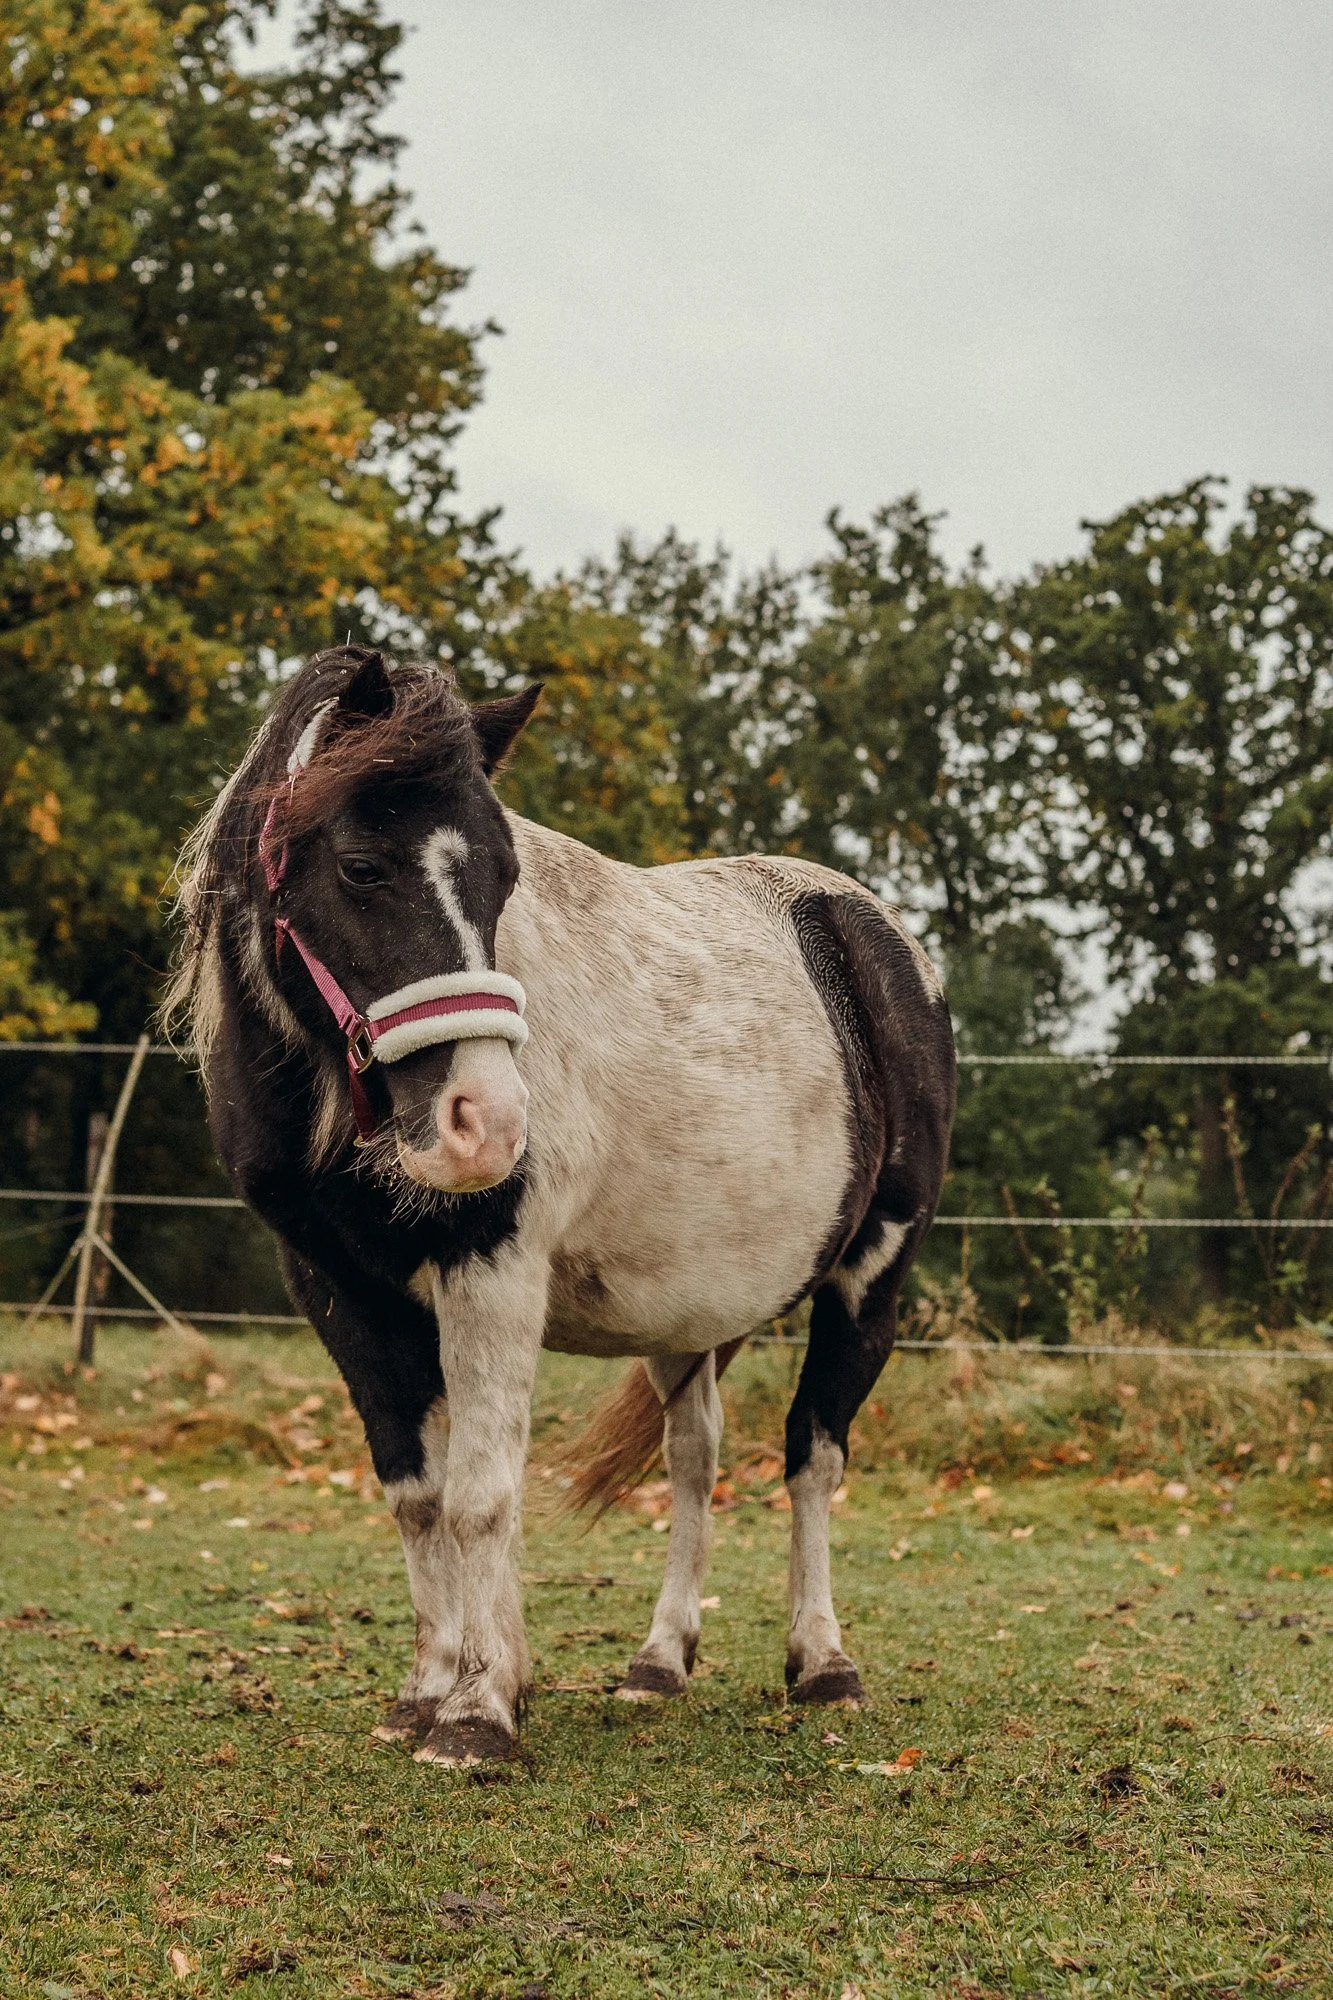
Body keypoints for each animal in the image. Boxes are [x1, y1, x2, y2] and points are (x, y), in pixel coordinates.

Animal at [166, 644, 956, 1767]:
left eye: (505, 875)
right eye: (361, 865)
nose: (487, 1124)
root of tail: (873, 934)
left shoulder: (491, 1270)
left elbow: (481, 1496)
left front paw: (478, 1712)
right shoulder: (338, 1289)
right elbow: (419, 1494)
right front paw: (434, 1685)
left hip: (869, 1277)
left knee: (811, 1456)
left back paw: (823, 1663)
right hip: (685, 1310)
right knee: (693, 1456)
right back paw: (659, 1660)